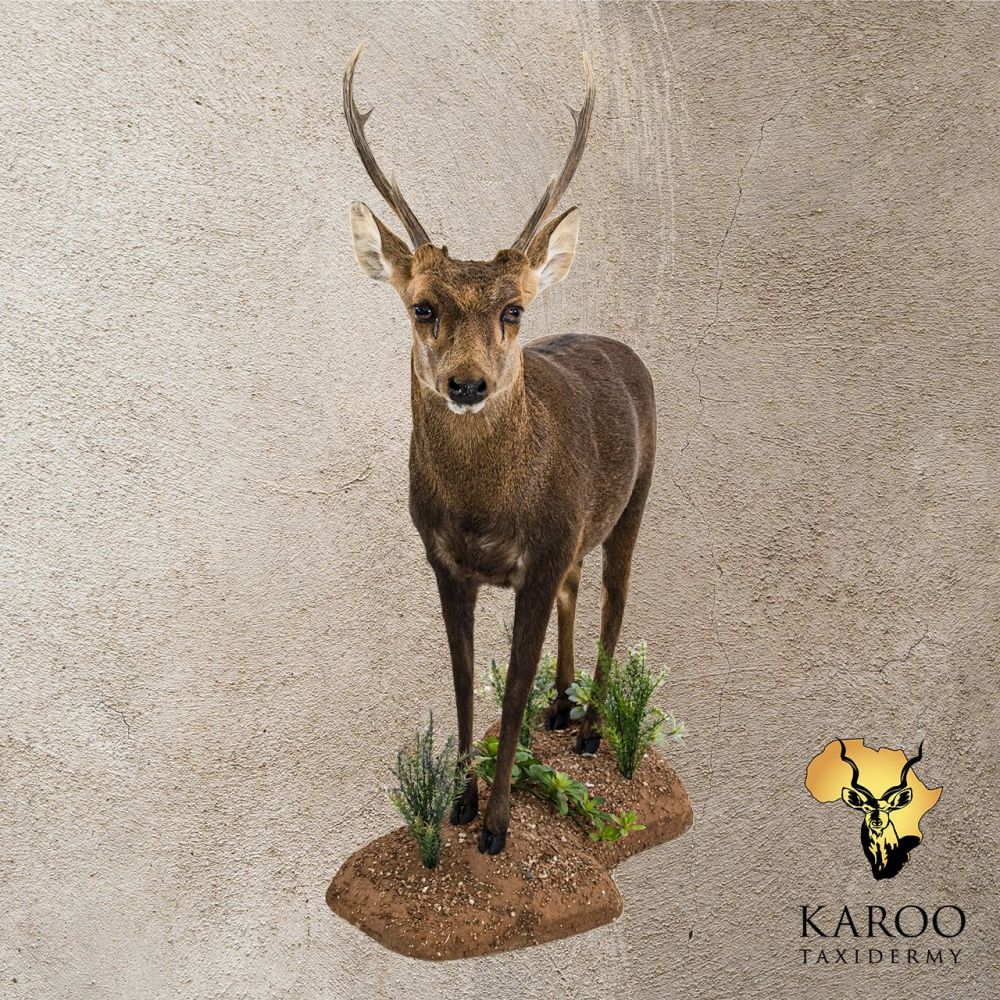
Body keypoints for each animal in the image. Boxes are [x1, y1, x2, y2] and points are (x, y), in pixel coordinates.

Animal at [343, 46, 656, 855]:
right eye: (422, 306)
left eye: (513, 309)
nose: (468, 383)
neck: (485, 515)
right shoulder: (443, 559)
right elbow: (460, 681)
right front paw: (458, 802)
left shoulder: (539, 557)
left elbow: (509, 687)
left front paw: (498, 825)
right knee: (582, 590)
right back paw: (564, 705)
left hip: (635, 497)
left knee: (615, 594)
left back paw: (591, 728)